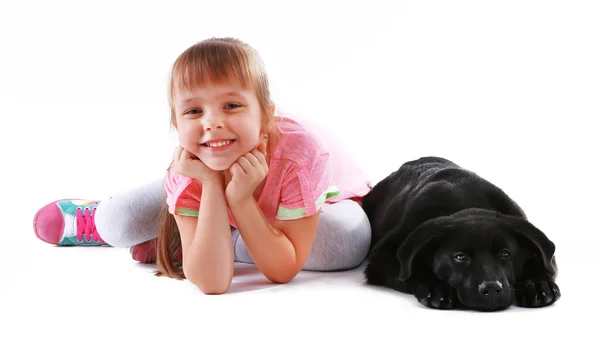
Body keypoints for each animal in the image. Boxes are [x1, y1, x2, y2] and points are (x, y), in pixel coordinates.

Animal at [360, 157, 564, 310]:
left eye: (505, 254)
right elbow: (412, 271)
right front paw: (437, 287)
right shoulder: (384, 257)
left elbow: (541, 263)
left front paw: (537, 285)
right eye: (460, 257)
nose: (491, 289)